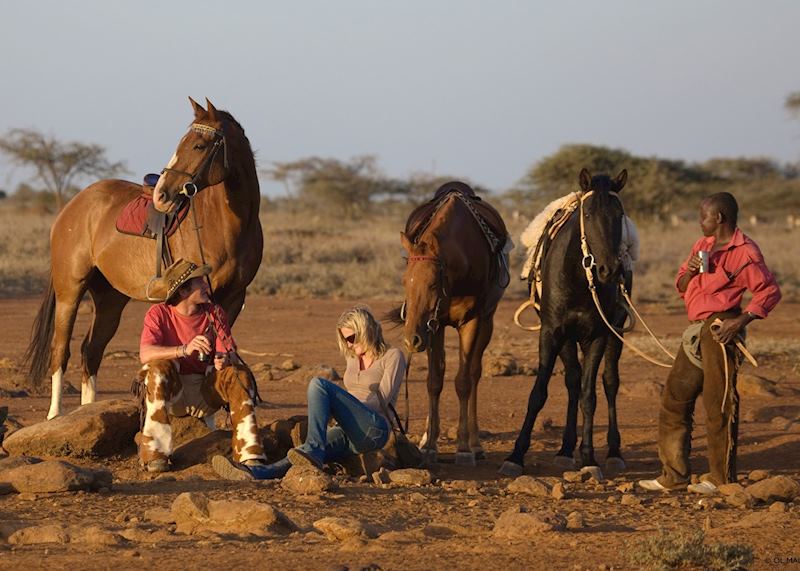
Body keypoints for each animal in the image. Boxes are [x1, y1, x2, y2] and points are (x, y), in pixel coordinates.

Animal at [25, 98, 263, 420]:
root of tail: (73, 206)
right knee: (61, 350)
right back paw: (55, 415)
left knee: (91, 350)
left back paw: (89, 411)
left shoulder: (235, 297)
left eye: (199, 145)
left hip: (110, 299)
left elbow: (219, 354)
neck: (227, 223)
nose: (162, 194)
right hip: (69, 291)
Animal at [391, 181, 509, 466]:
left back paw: (475, 444)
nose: (411, 339)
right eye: (404, 281)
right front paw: (429, 445)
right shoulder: (434, 324)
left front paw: (464, 448)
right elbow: (434, 380)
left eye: (433, 283)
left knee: (475, 373)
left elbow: (464, 381)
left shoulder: (472, 321)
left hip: (487, 322)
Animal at [500, 168, 629, 478]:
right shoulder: (552, 333)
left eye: (619, 214)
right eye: (589, 214)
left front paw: (590, 458)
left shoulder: (598, 335)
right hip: (568, 338)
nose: (610, 270)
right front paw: (515, 455)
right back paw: (565, 449)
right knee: (572, 379)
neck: (580, 279)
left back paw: (613, 452)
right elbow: (539, 393)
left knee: (609, 382)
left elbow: (589, 395)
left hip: (615, 331)